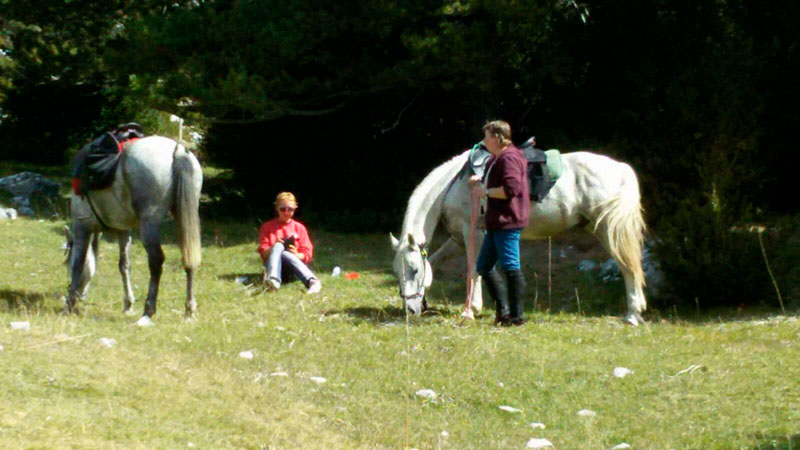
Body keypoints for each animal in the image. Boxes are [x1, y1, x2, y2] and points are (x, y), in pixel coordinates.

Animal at [66, 135, 203, 322]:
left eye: (67, 265)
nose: (81, 296)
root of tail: (178, 151)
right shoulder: (123, 231)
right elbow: (124, 265)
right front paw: (128, 303)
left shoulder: (82, 226)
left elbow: (79, 263)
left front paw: (69, 302)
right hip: (186, 217)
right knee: (189, 260)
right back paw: (189, 309)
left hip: (149, 223)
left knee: (156, 261)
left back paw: (148, 311)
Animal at [390, 149, 648, 326]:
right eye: (396, 272)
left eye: (413, 269)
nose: (409, 309)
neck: (452, 186)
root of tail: (621, 168)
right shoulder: (457, 240)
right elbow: (436, 261)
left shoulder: (472, 232)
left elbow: (473, 270)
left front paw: (471, 310)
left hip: (607, 230)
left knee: (628, 267)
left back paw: (632, 314)